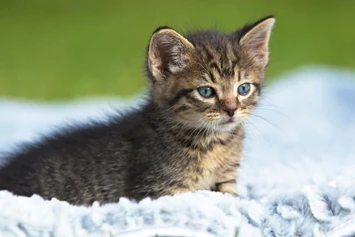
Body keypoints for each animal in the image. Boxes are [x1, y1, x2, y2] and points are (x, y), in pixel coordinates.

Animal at [0, 16, 276, 206]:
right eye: (206, 92)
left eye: (243, 88)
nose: (231, 110)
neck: (211, 142)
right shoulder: (160, 189)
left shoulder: (225, 181)